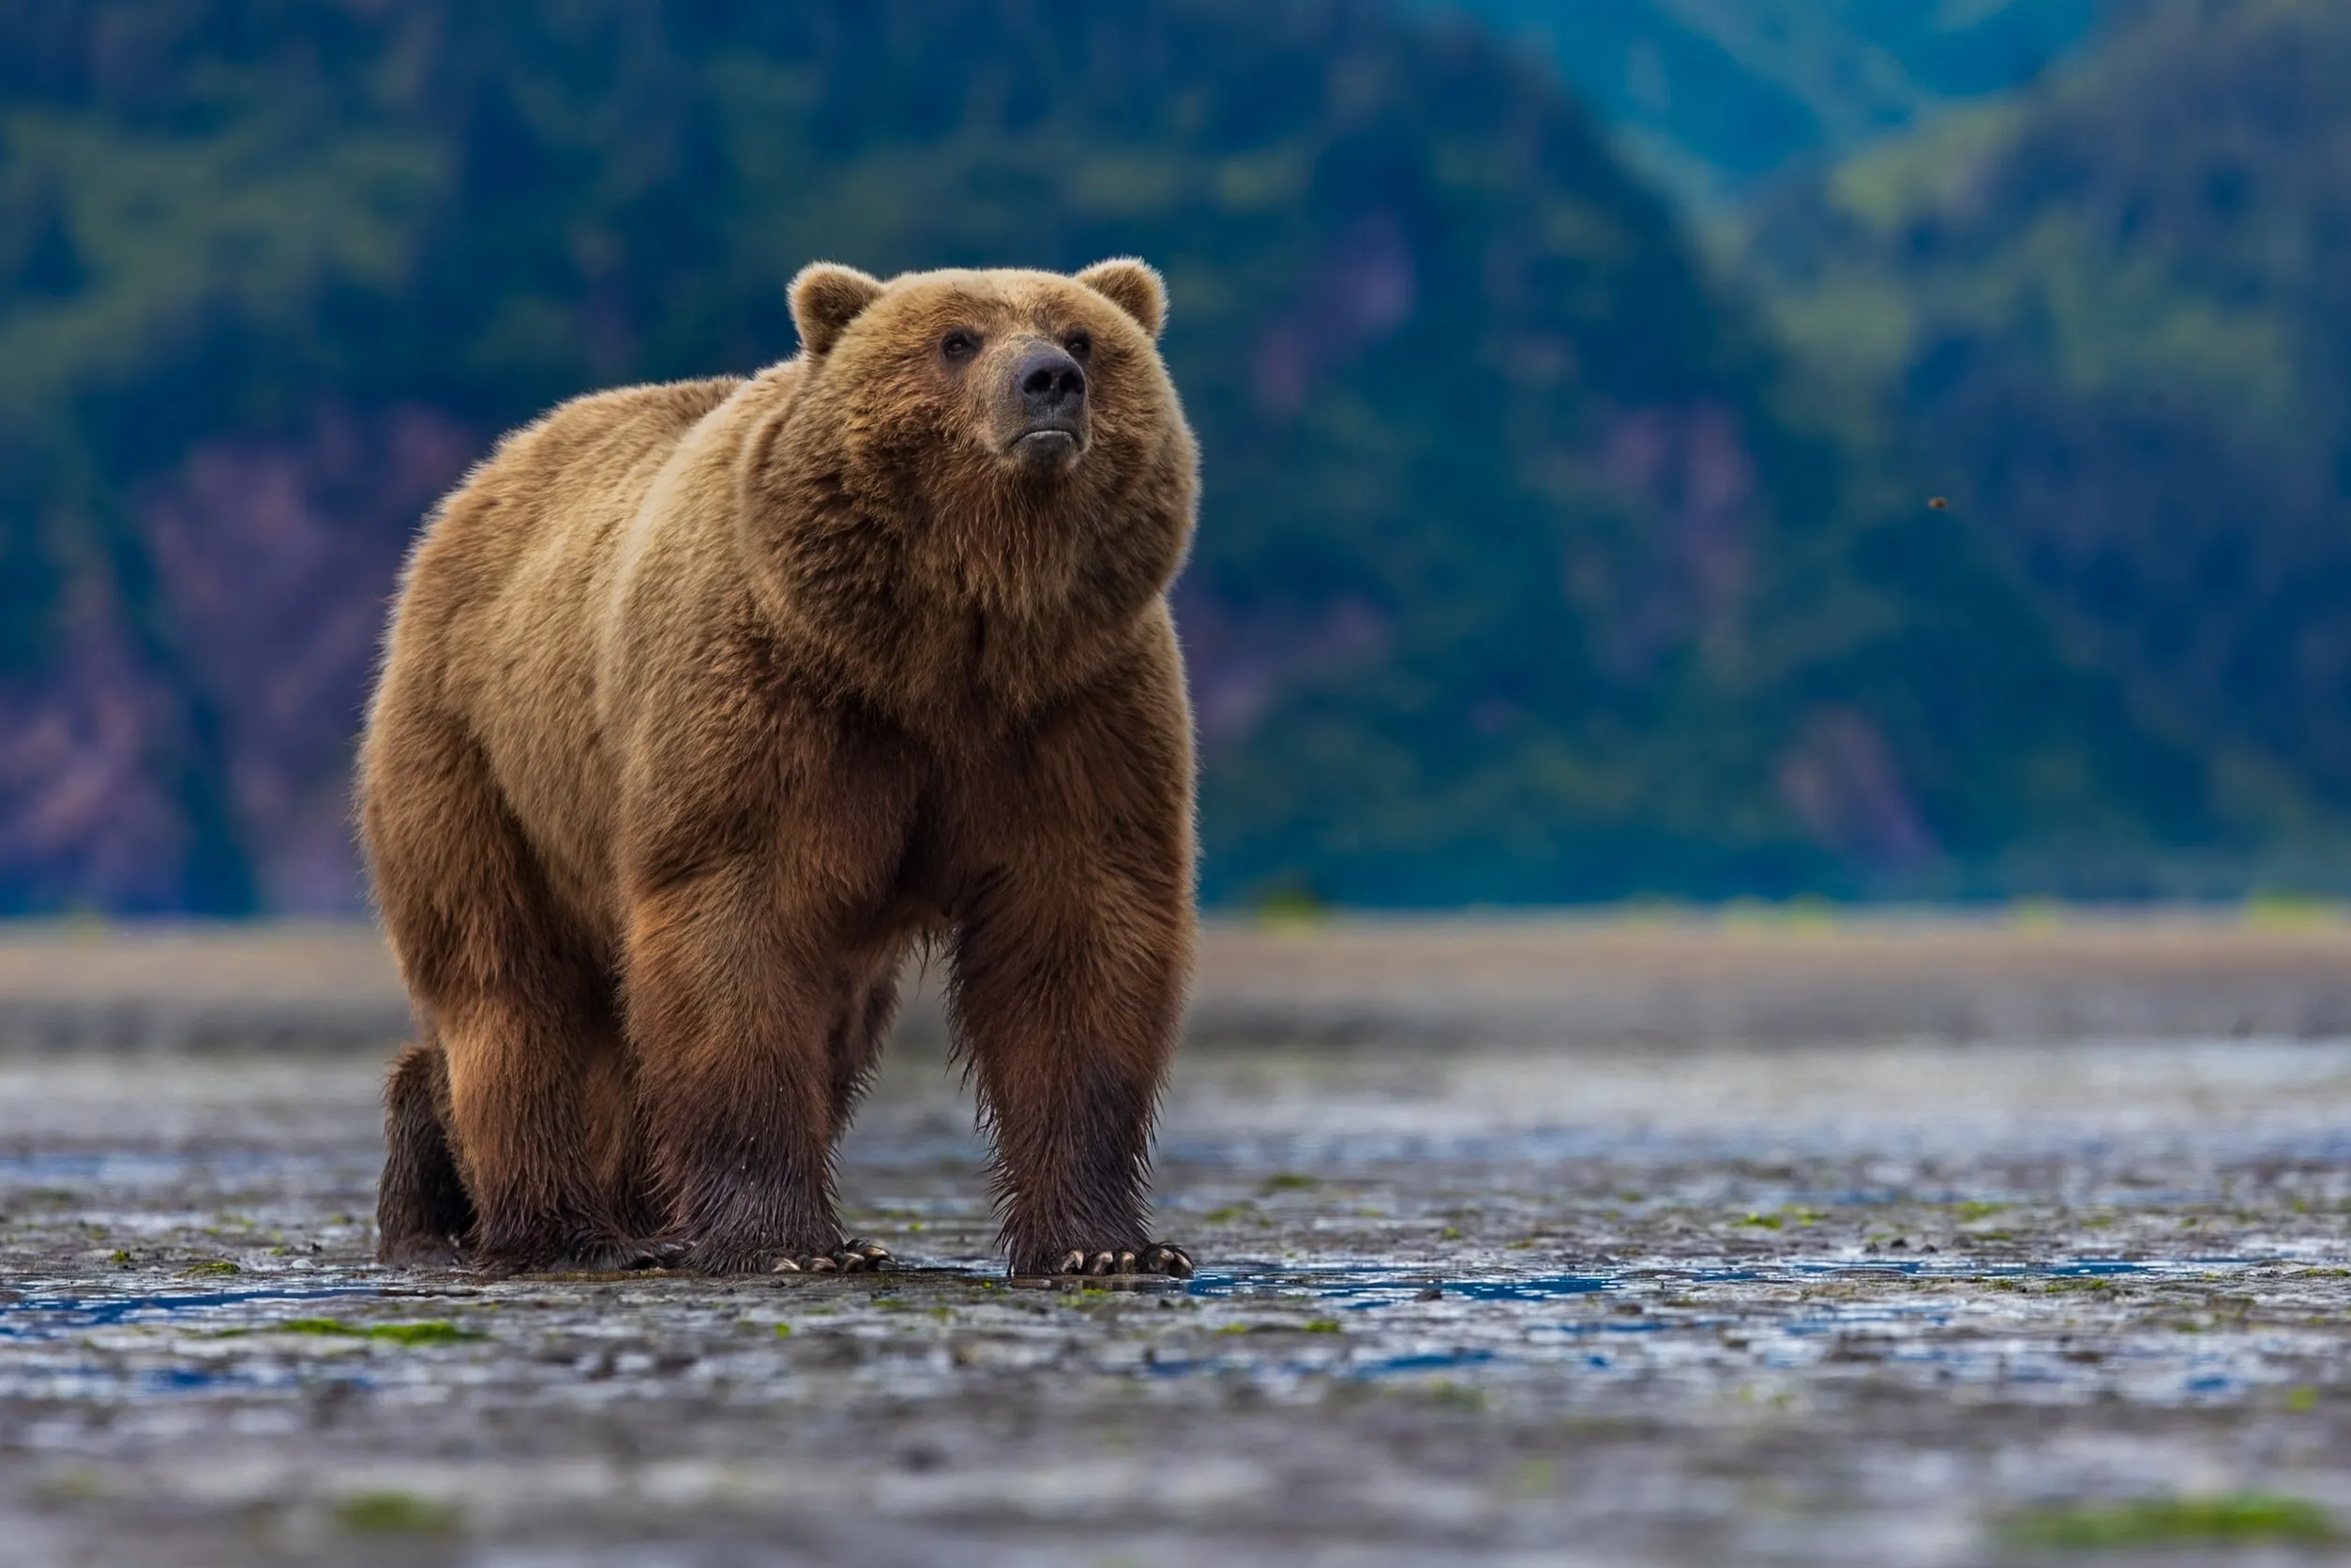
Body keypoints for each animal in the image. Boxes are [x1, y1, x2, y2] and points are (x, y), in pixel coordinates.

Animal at [360, 259, 1198, 1279]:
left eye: (1082, 337)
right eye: (956, 340)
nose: (1049, 381)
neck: (939, 645)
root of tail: (476, 488)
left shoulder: (1068, 711)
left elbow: (1073, 944)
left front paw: (1104, 1247)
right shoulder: (774, 703)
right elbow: (736, 936)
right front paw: (789, 1244)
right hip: (480, 757)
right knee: (509, 986)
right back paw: (550, 1224)